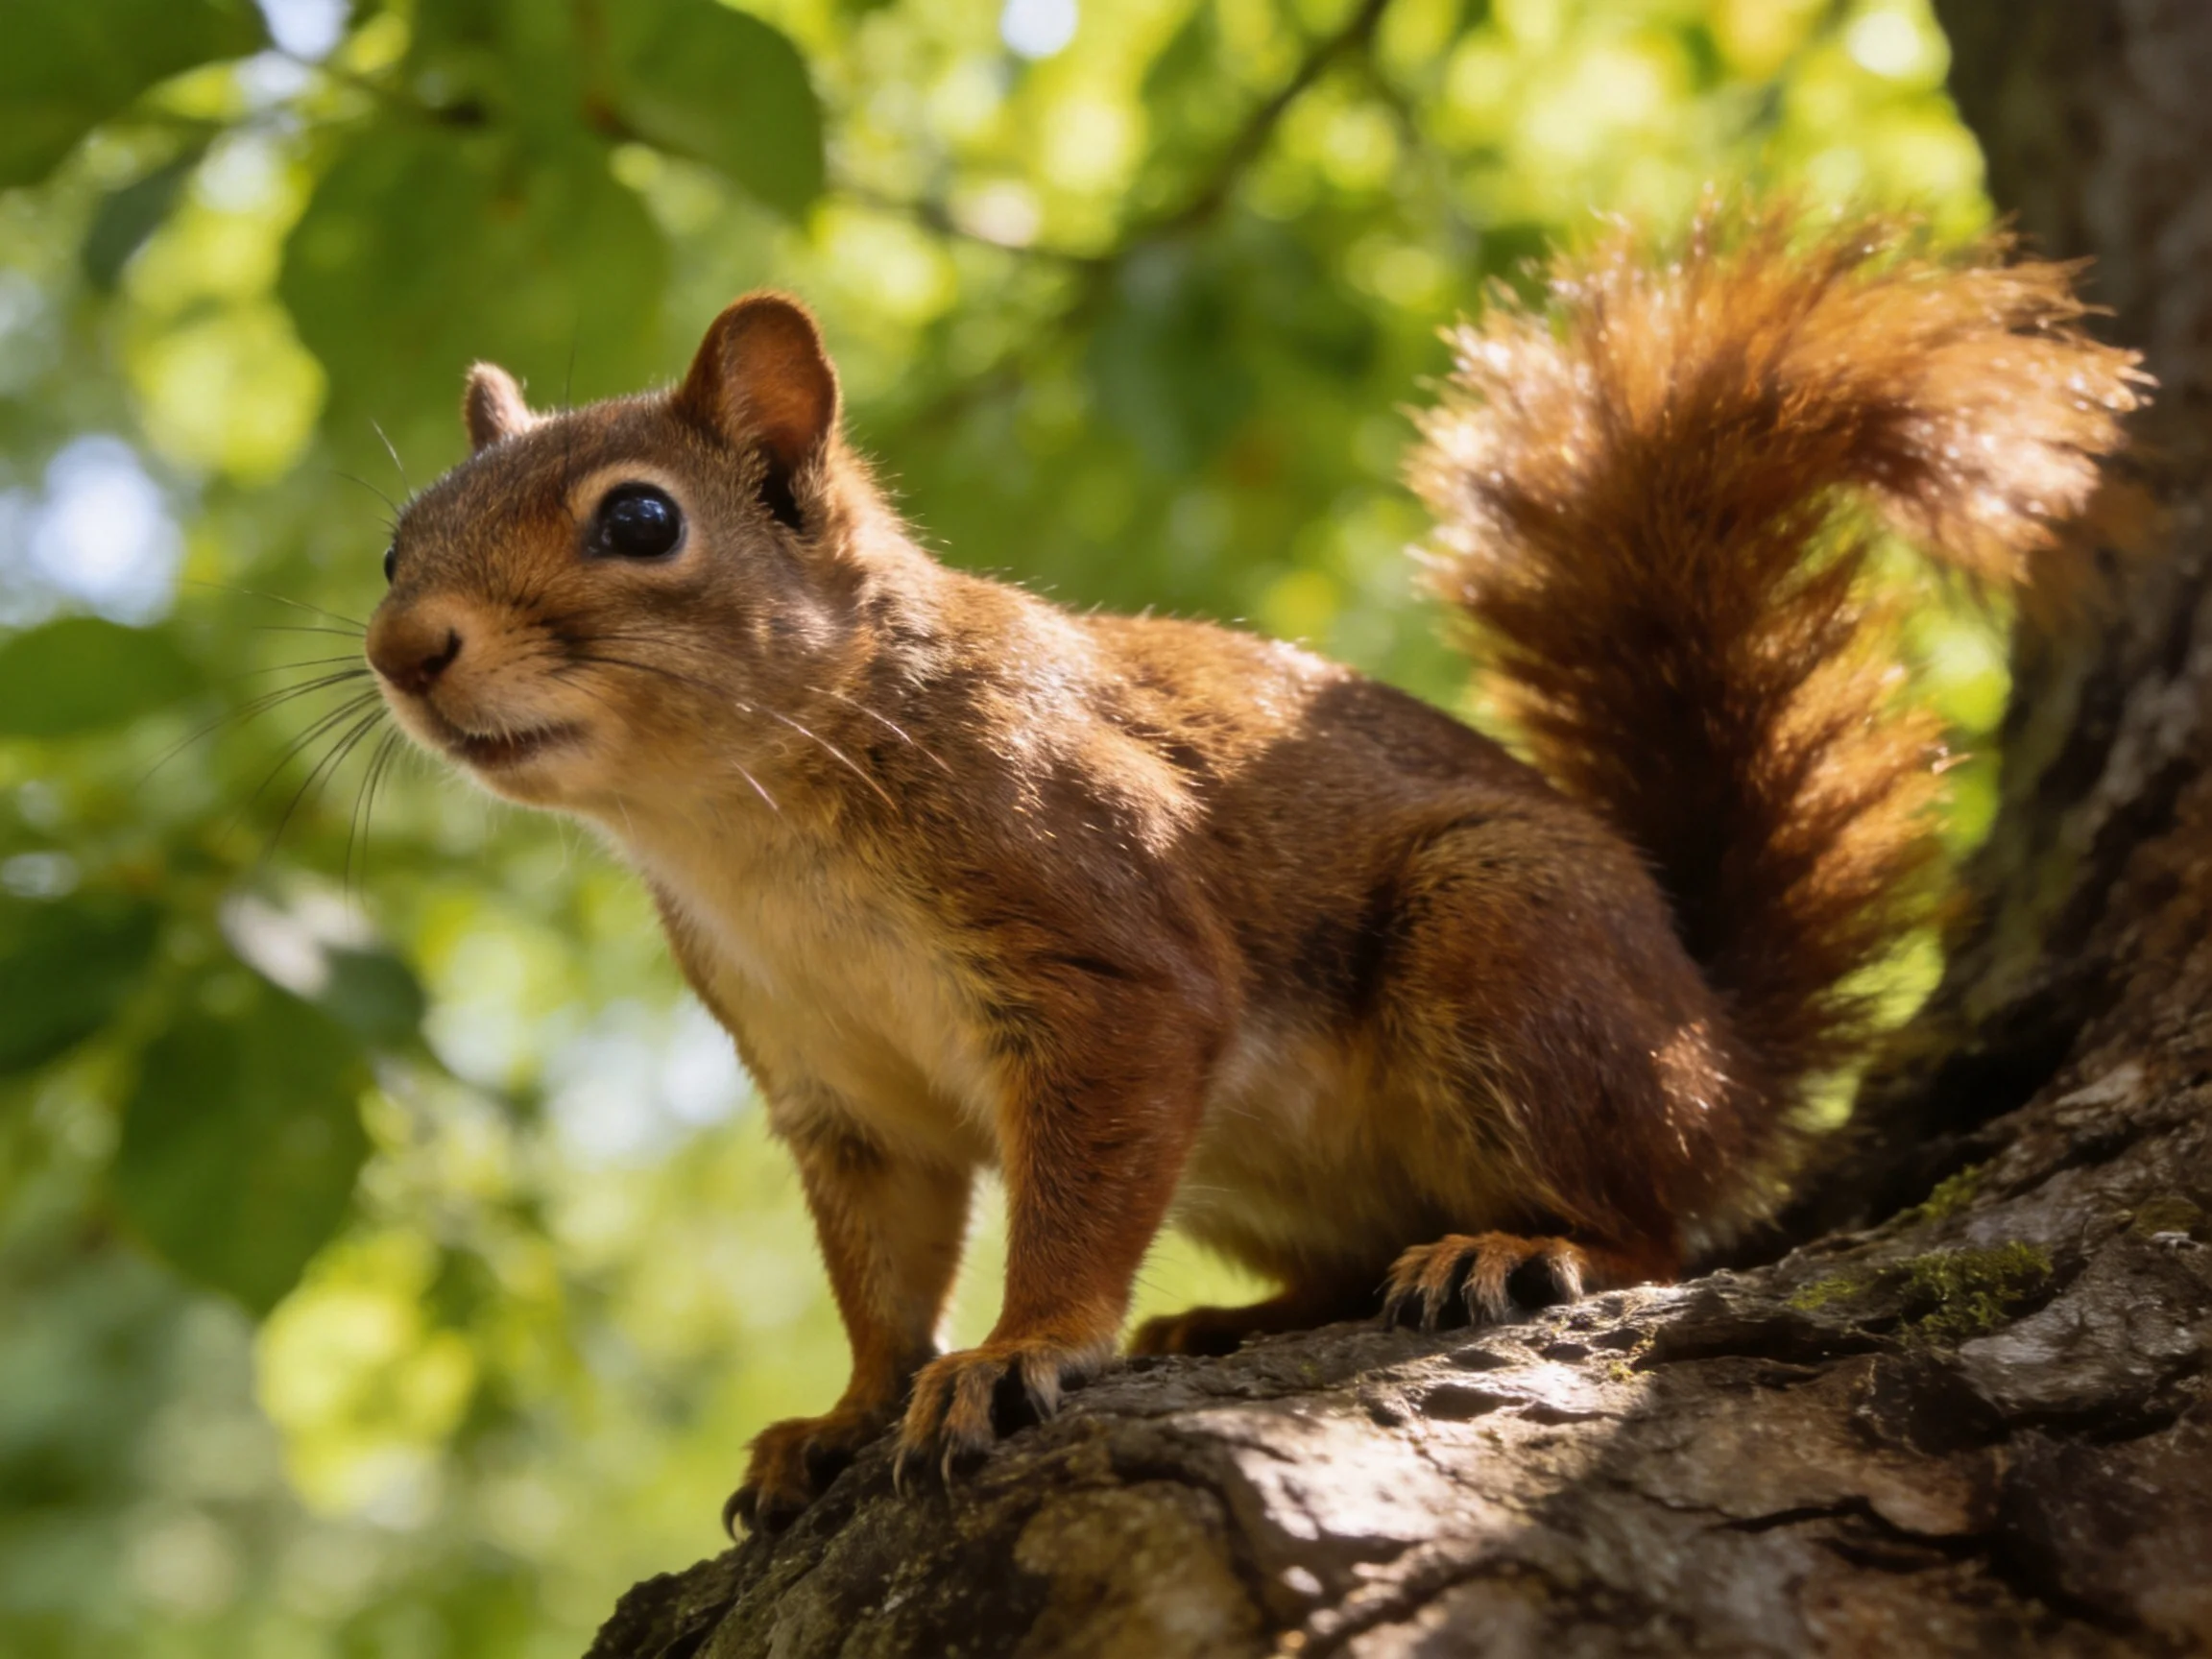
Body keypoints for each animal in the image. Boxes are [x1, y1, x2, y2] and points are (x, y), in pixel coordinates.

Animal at [361, 203, 2142, 1534]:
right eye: (392, 542)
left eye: (639, 522)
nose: (402, 648)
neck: (738, 819)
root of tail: (1720, 1047)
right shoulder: (835, 1085)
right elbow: (879, 1269)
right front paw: (844, 1410)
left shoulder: (1098, 950)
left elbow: (1069, 1201)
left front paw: (1017, 1351)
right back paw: (1239, 1318)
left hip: (1505, 953)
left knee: (1659, 1225)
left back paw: (1522, 1248)